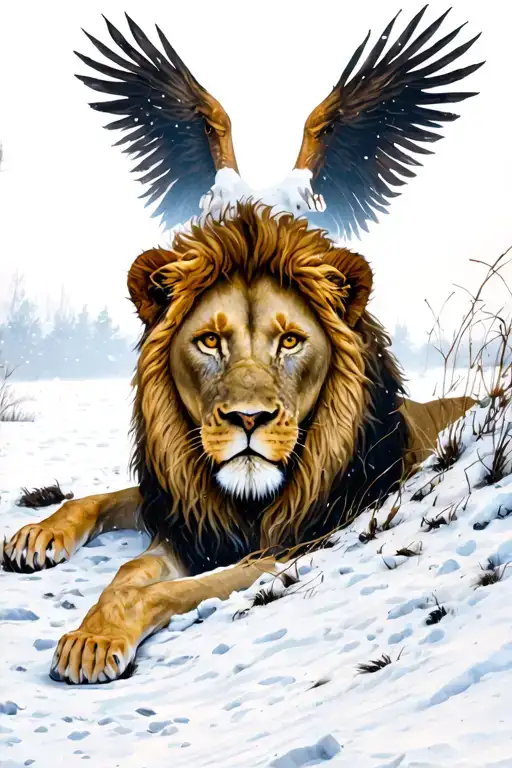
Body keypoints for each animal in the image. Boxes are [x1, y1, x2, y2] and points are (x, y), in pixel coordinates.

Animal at [2, 203, 475, 684]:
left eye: (290, 341)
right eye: (210, 341)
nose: (249, 418)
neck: (246, 499)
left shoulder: (296, 547)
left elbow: (177, 589)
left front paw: (91, 644)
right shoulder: (186, 517)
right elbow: (121, 551)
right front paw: (39, 542)